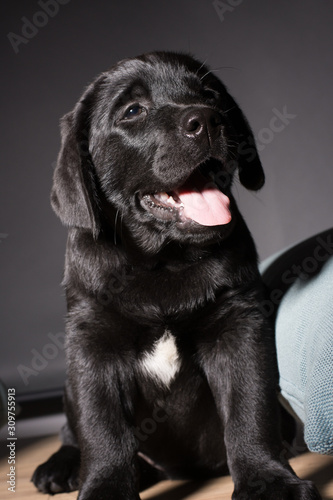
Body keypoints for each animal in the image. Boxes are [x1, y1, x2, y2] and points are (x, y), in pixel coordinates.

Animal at [32, 51, 320, 500]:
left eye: (210, 94)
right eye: (133, 111)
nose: (207, 119)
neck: (164, 260)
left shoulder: (239, 327)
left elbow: (250, 410)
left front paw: (267, 479)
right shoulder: (92, 343)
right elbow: (101, 427)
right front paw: (104, 487)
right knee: (70, 431)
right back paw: (60, 466)